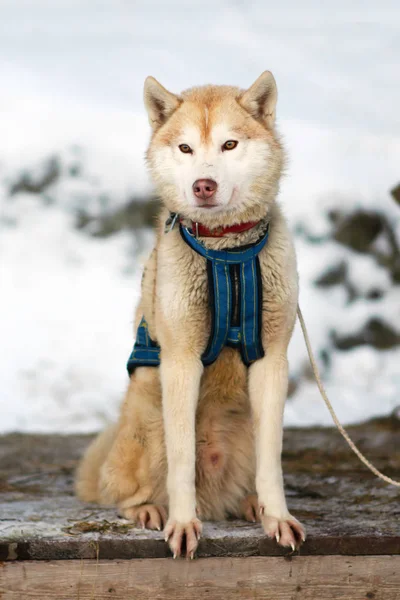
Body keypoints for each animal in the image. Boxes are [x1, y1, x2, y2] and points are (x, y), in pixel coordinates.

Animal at [76, 72, 306, 560]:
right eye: (185, 148)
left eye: (229, 144)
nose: (204, 185)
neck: (228, 254)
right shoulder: (181, 360)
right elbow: (182, 461)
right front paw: (182, 524)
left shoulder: (272, 359)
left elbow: (273, 461)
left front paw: (277, 516)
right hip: (149, 422)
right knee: (127, 491)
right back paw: (148, 509)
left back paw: (250, 504)